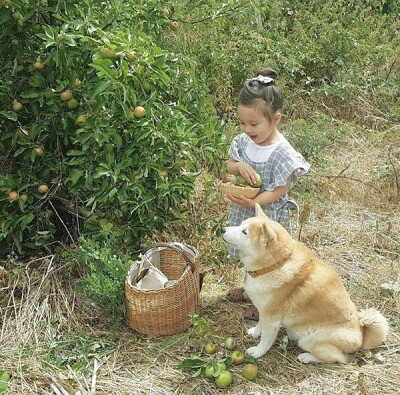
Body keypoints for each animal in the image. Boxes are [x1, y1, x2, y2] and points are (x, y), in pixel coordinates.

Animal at [220, 206, 390, 364]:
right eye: (241, 224)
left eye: (244, 232)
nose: (222, 229)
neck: (275, 265)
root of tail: (361, 336)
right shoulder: (264, 310)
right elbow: (260, 324)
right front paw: (255, 332)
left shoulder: (272, 318)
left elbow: (266, 341)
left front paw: (257, 352)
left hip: (310, 340)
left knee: (339, 358)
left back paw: (307, 357)